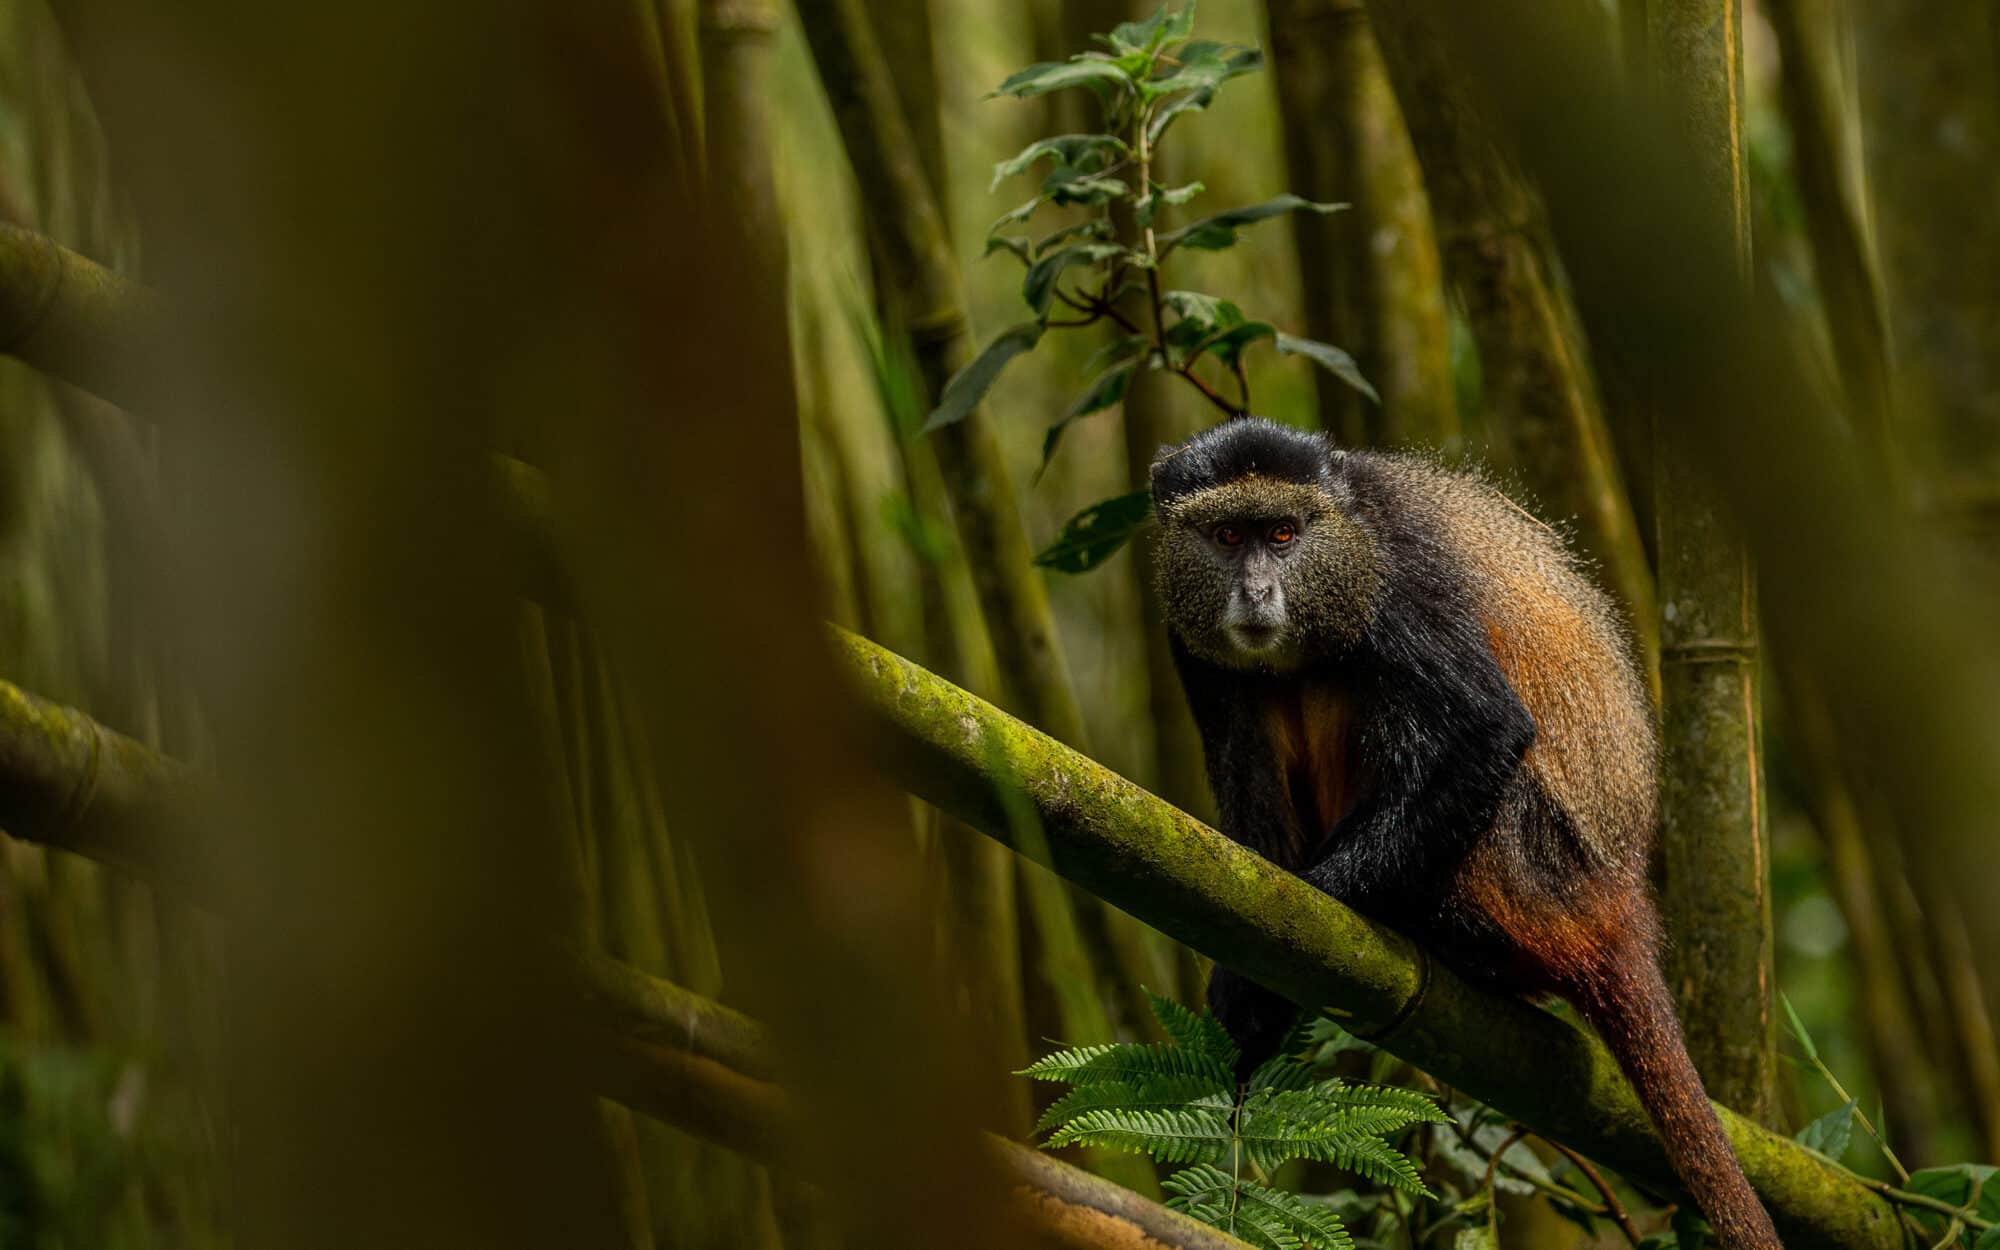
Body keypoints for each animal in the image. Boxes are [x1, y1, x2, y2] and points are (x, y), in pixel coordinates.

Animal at [1149, 417, 1781, 1250]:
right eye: (1228, 536)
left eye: (1283, 534)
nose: (1255, 591)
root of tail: (1622, 905)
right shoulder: (1188, 640)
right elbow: (1252, 819)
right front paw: (1243, 1004)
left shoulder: (1400, 576)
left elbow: (1486, 726)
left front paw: (1303, 923)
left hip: (1531, 869)